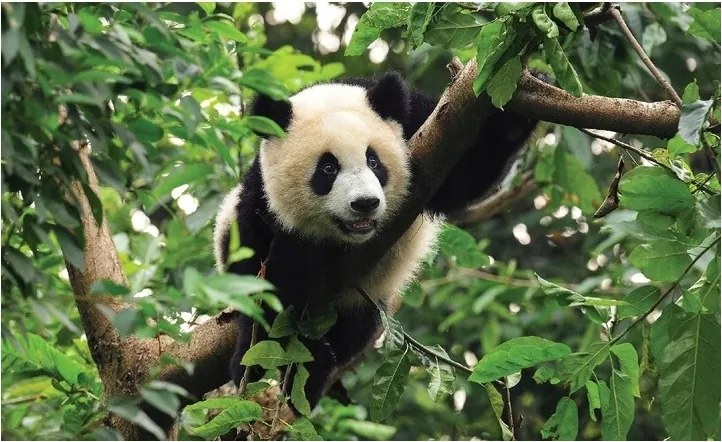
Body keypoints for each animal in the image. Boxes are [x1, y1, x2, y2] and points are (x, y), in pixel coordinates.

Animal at [213, 72, 538, 409]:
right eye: (328, 168)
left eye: (373, 162)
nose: (365, 203)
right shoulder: (261, 202)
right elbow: (265, 278)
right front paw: (274, 362)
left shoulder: (424, 127)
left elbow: (462, 177)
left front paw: (519, 112)